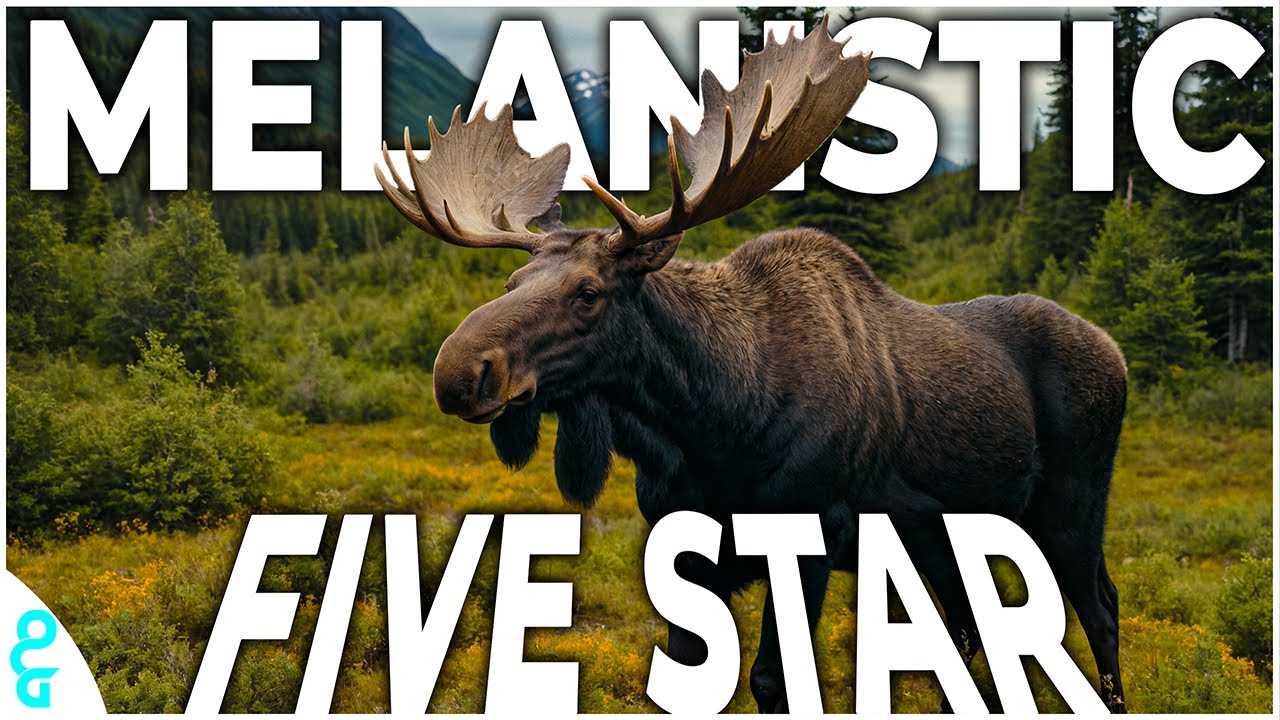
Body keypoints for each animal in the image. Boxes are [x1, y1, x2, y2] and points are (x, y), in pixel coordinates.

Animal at [376, 17, 1128, 714]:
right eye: (510, 283)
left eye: (588, 291)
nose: (457, 371)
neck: (708, 428)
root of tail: (1116, 353)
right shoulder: (683, 544)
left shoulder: (816, 531)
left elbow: (773, 680)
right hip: (947, 540)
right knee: (973, 631)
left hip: (1071, 508)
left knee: (1100, 607)